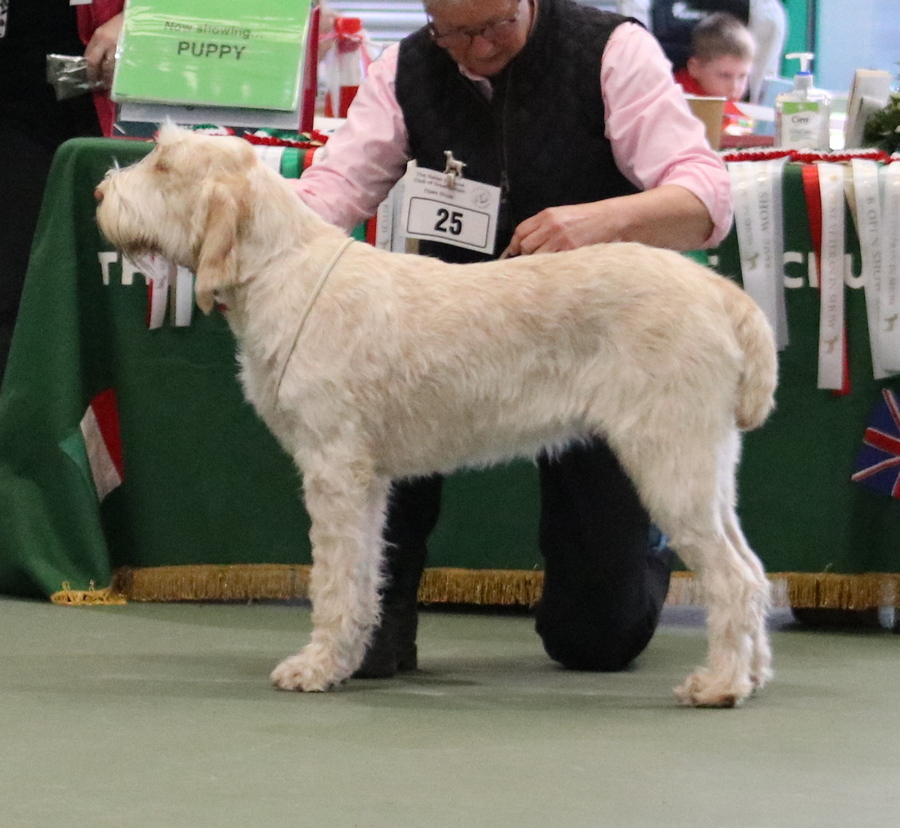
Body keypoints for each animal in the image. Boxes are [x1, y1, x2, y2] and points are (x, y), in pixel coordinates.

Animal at [96, 125, 778, 707]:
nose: (100, 194)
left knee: (732, 578)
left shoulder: (333, 468)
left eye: (163, 164)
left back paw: (719, 686)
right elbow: (363, 573)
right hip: (708, 465)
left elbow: (333, 578)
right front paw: (347, 660)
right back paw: (751, 674)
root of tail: (721, 293)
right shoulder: (365, 479)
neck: (281, 268)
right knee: (751, 566)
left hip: (671, 460)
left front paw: (313, 668)